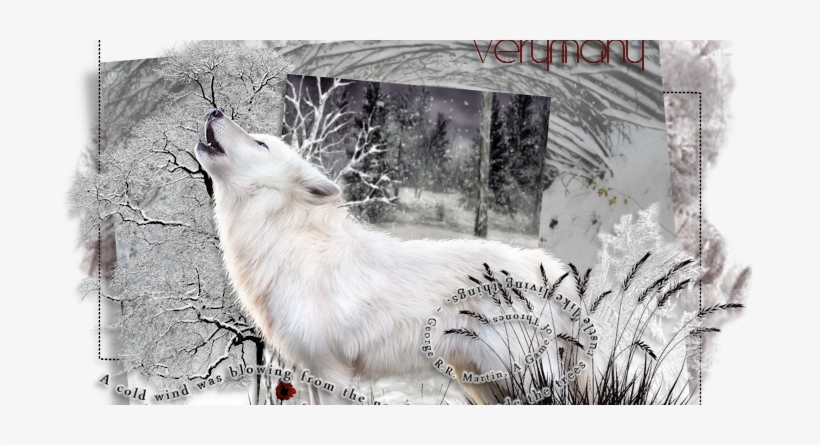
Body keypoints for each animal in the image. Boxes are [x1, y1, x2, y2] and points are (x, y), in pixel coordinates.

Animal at [194, 109, 580, 404]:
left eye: (260, 144)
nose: (214, 111)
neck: (288, 242)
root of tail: (547, 267)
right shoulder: (310, 374)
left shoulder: (332, 374)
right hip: (485, 384)